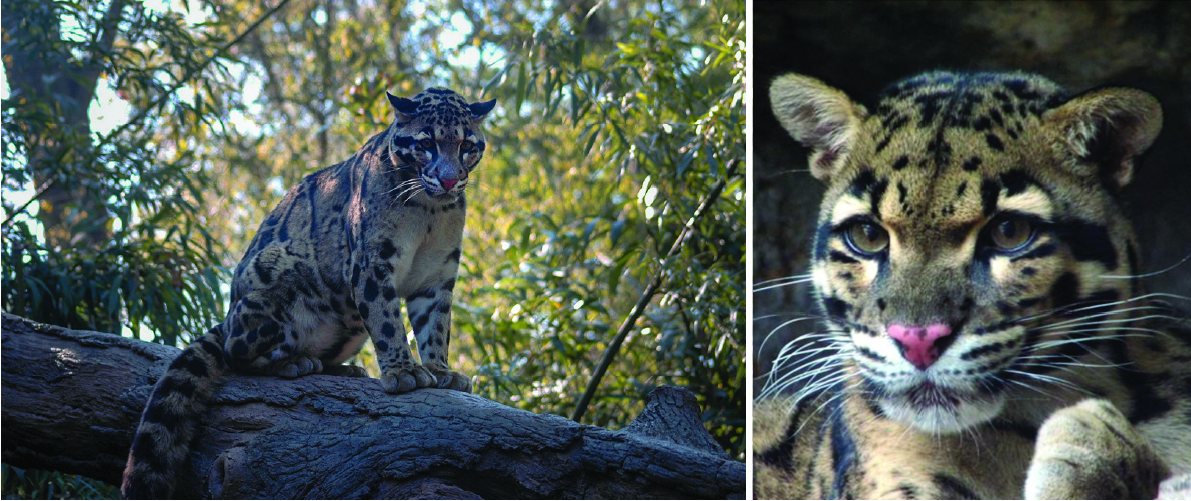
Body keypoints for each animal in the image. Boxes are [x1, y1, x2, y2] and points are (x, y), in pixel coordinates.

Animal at [120, 87, 496, 499]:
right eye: (427, 144)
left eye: (466, 146)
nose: (449, 180)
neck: (430, 212)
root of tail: (228, 313)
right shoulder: (370, 264)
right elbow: (388, 323)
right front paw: (403, 372)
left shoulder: (438, 274)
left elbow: (436, 328)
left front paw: (440, 369)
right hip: (274, 270)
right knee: (236, 351)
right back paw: (295, 363)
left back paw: (345, 369)